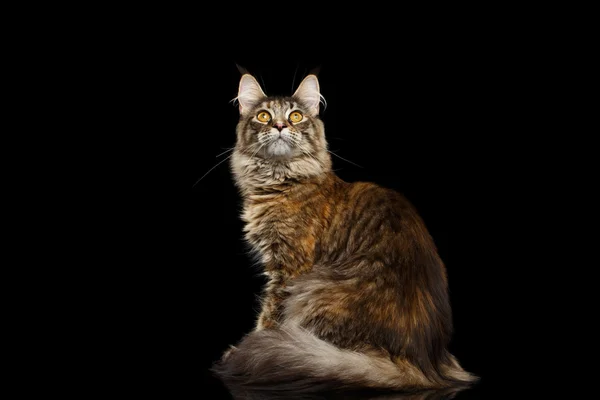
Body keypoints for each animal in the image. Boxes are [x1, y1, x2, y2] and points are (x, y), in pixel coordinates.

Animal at [213, 72, 476, 394]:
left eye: (295, 116)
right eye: (264, 116)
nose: (279, 126)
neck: (281, 179)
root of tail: (425, 364)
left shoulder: (288, 269)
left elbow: (269, 316)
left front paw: (249, 344)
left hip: (314, 289)